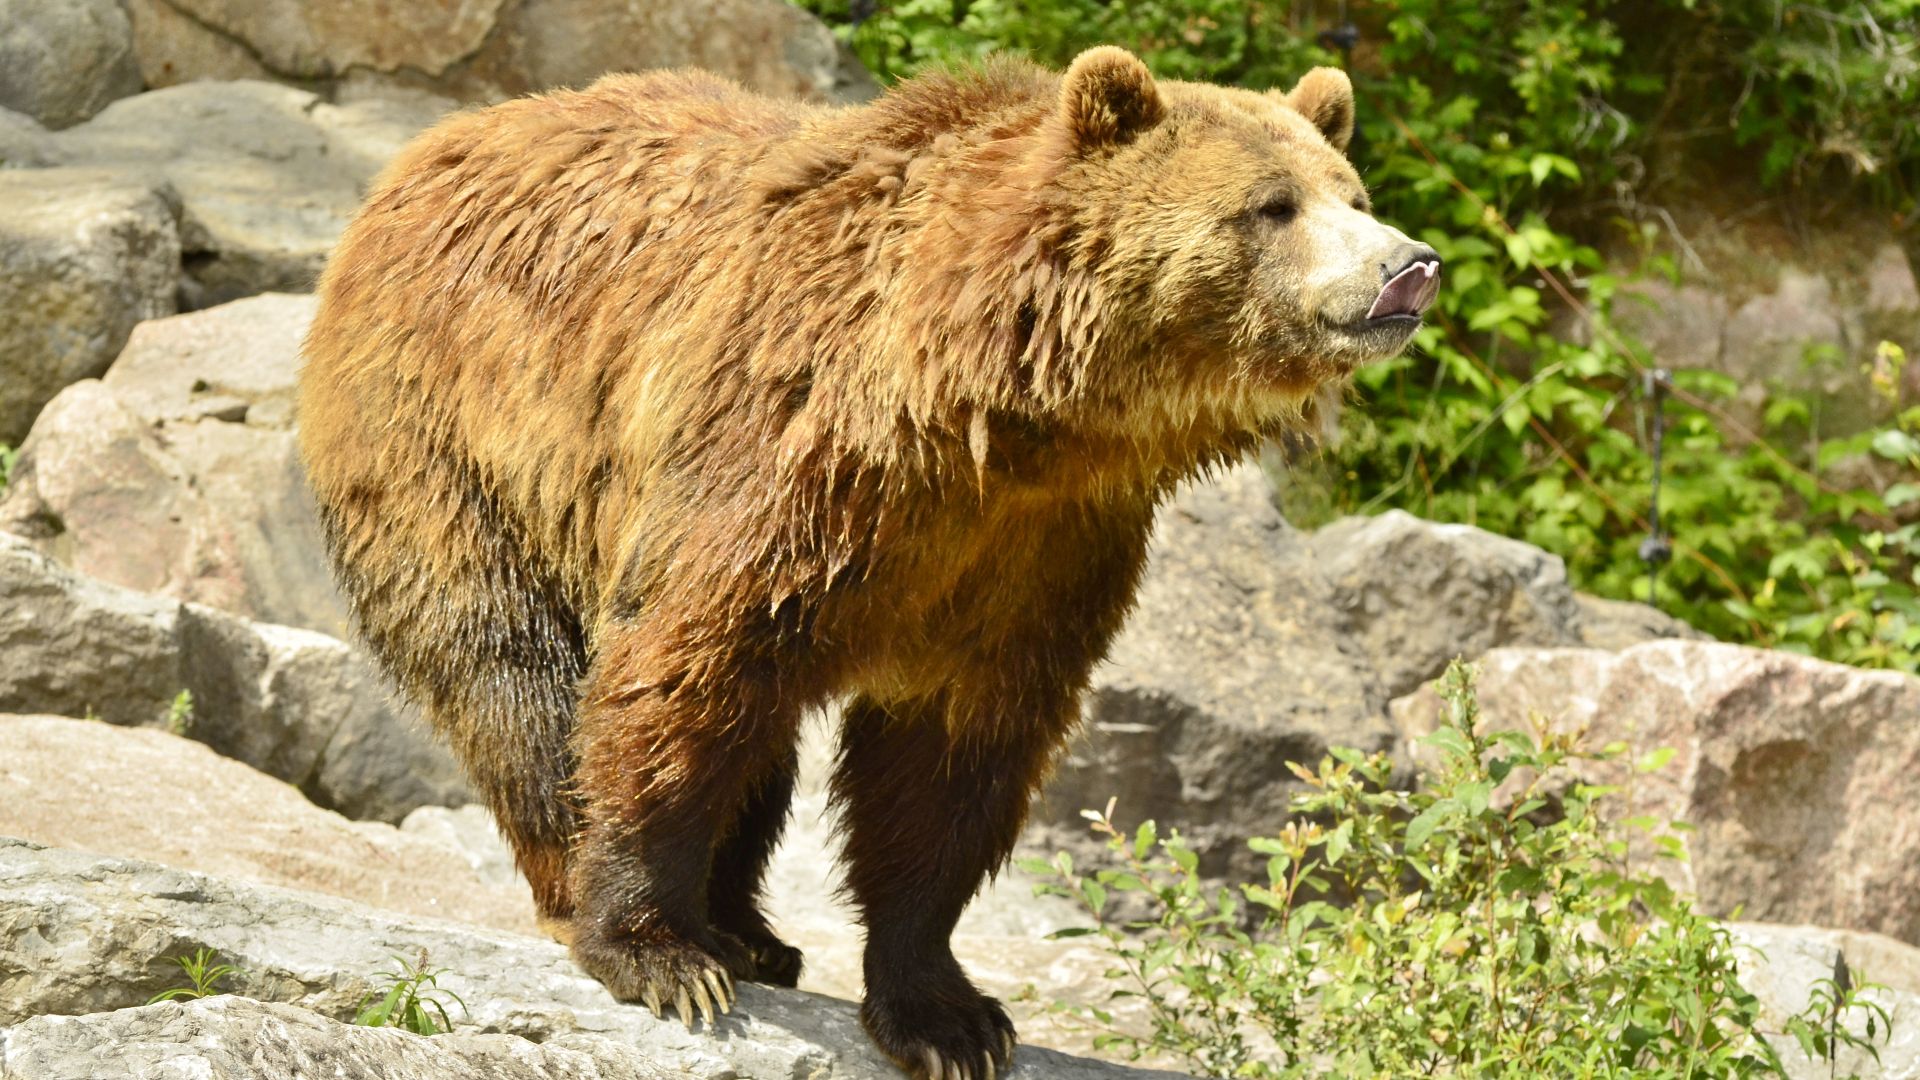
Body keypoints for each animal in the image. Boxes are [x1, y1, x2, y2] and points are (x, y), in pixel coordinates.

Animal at [298, 45, 1438, 1080]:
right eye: (1272, 206)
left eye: (1353, 193)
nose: (1408, 264)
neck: (998, 412)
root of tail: (430, 149)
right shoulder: (793, 455)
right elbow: (684, 665)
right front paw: (655, 953)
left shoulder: (1042, 547)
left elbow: (951, 761)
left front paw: (950, 1018)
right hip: (451, 434)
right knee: (512, 672)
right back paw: (600, 895)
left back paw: (750, 930)